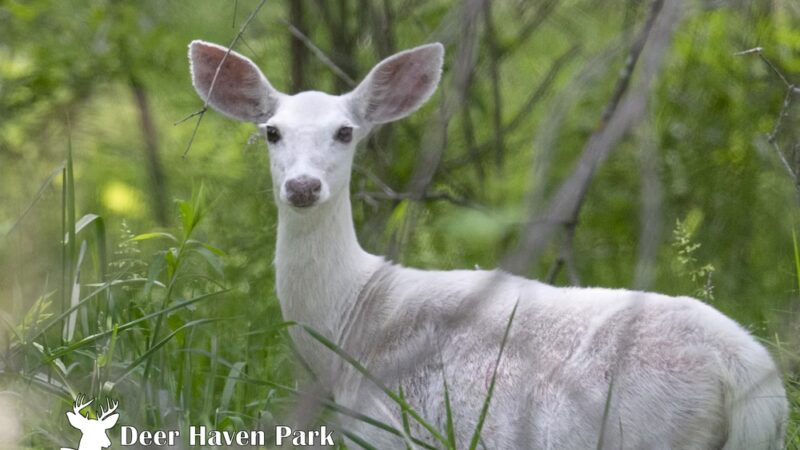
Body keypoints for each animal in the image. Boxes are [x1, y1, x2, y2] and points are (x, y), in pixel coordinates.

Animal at [188, 40, 788, 449]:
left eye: (345, 132)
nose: (303, 187)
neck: (350, 319)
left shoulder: (388, 426)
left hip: (651, 431)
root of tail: (749, 377)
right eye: (271, 132)